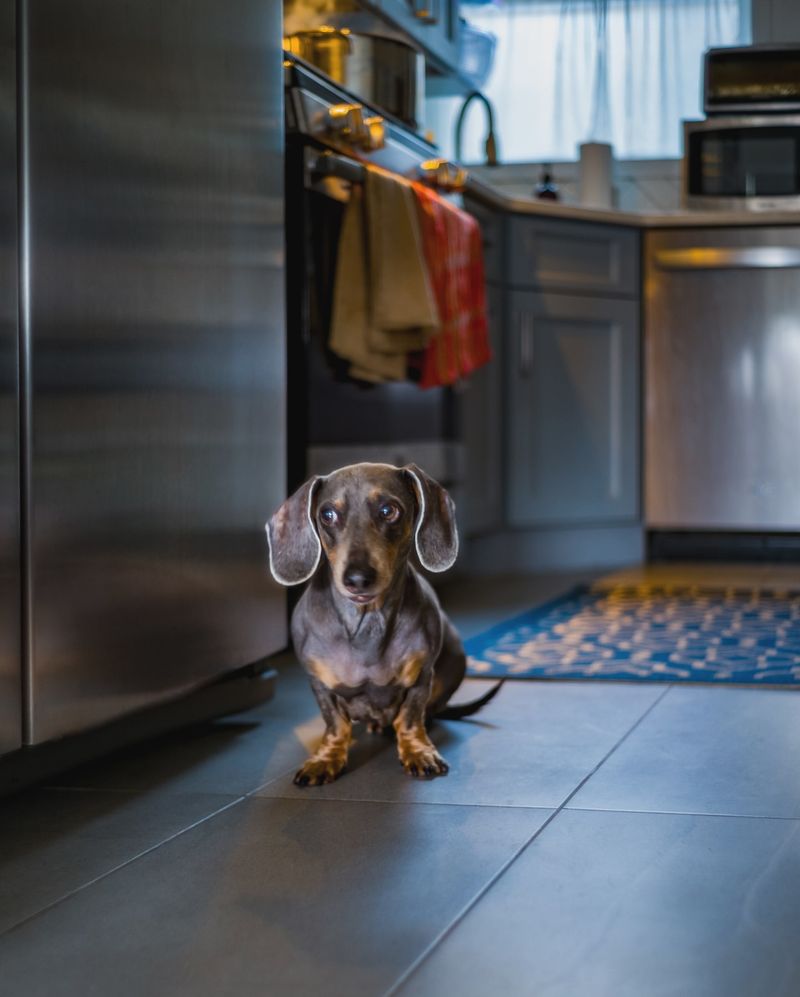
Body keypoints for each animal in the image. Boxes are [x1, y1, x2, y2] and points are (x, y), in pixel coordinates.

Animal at [268, 462, 500, 784]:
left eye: (389, 510)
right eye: (327, 514)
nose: (357, 579)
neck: (367, 623)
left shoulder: (421, 677)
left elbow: (411, 718)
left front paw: (418, 751)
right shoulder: (319, 683)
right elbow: (335, 723)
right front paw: (326, 758)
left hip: (456, 654)